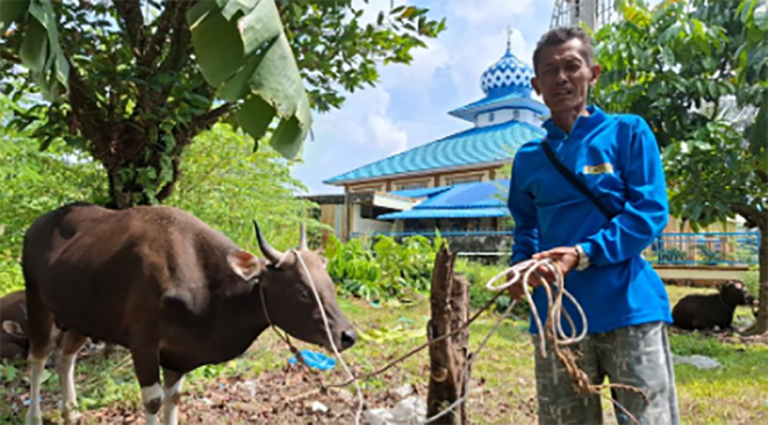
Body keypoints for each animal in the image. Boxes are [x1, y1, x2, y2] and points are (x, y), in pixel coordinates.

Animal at [21, 202, 356, 424]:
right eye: (302, 291)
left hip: (80, 314)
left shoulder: (179, 353)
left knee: (64, 358)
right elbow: (154, 401)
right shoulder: (144, 345)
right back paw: (34, 416)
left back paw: (71, 412)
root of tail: (37, 225)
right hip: (36, 300)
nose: (348, 335)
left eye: (330, 285)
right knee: (37, 360)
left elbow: (174, 398)